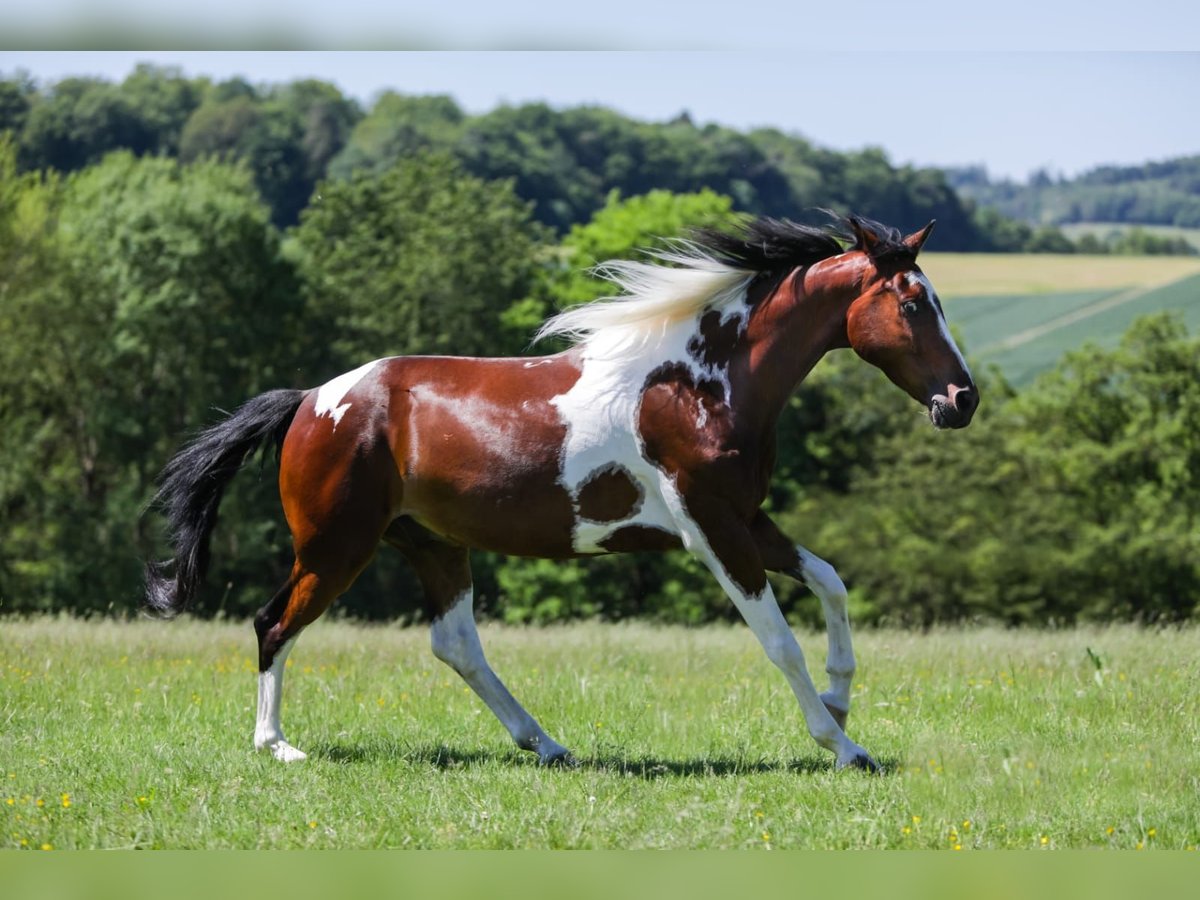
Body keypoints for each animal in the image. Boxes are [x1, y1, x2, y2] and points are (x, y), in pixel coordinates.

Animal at [145, 214, 979, 772]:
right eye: (912, 303)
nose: (962, 400)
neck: (701, 383)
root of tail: (310, 401)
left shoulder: (747, 518)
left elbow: (831, 582)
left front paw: (840, 697)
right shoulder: (712, 530)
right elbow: (778, 640)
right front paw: (845, 745)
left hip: (432, 544)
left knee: (455, 643)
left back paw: (545, 743)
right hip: (335, 545)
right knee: (274, 623)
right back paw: (278, 745)